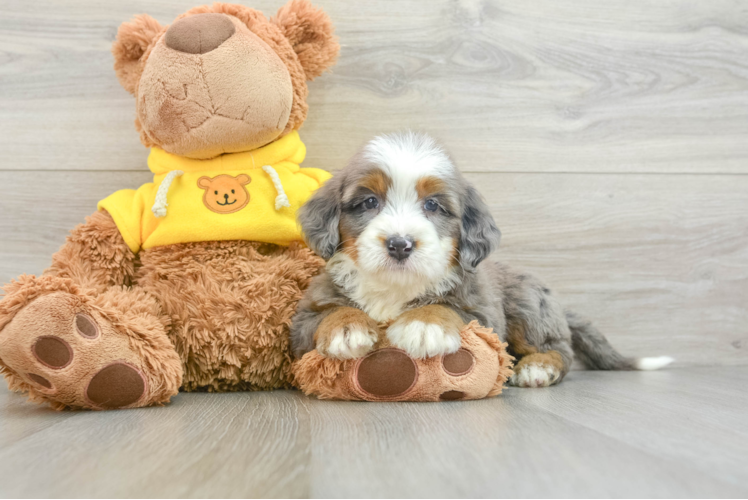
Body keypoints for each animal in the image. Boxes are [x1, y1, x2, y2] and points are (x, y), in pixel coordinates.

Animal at [290, 132, 672, 386]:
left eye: (433, 205)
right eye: (369, 202)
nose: (400, 244)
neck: (396, 286)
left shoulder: (483, 312)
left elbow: (447, 307)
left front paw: (424, 325)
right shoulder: (304, 318)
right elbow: (328, 314)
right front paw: (347, 328)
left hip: (528, 306)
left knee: (558, 347)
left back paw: (538, 367)